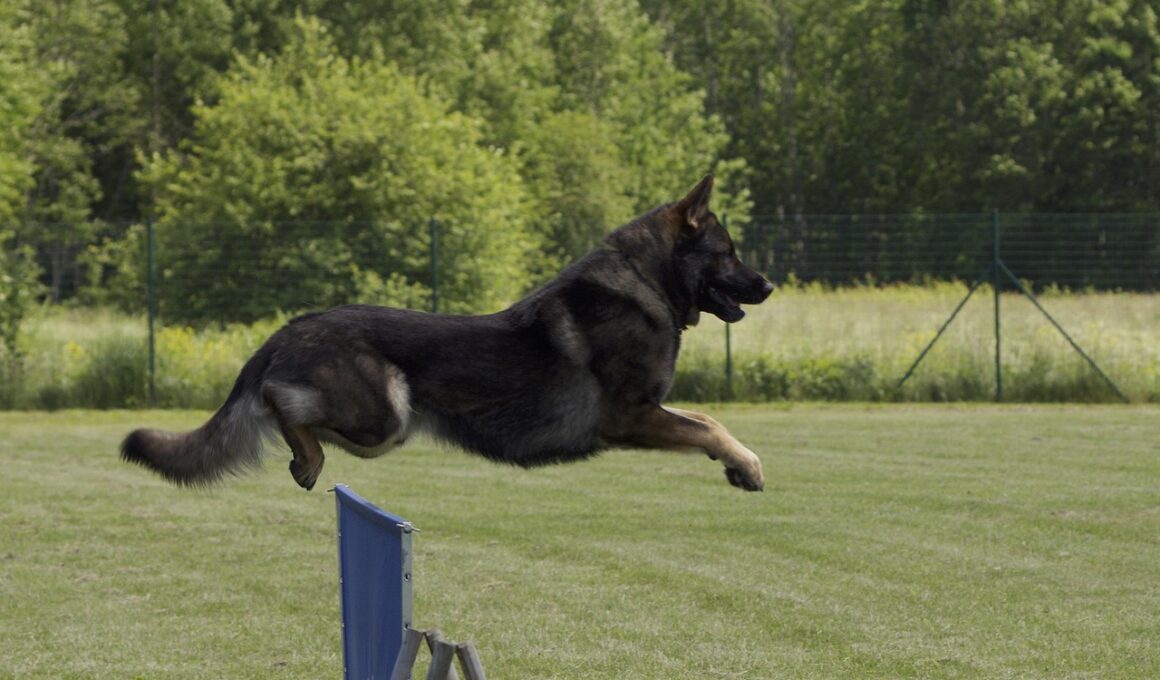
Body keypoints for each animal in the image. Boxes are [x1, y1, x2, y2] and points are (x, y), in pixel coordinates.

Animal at [121, 175, 774, 492]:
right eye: (728, 253)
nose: (768, 286)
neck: (644, 280)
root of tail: (288, 330)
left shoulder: (651, 412)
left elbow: (708, 419)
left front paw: (738, 465)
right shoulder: (631, 417)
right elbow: (709, 428)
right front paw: (748, 466)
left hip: (387, 425)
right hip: (387, 416)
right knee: (284, 407)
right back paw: (305, 456)